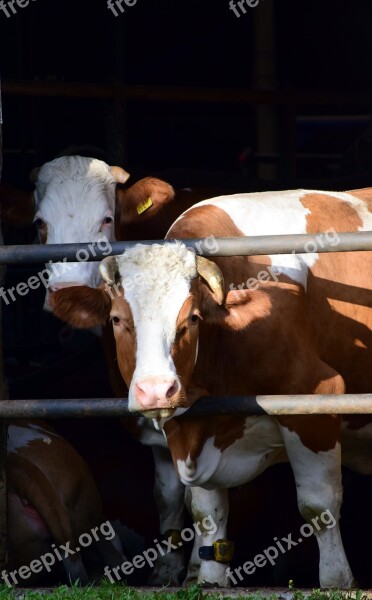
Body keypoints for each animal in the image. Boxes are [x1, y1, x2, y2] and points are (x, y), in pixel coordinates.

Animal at [48, 186, 372, 584]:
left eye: (192, 319)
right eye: (117, 319)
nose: (156, 391)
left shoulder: (314, 398)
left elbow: (319, 506)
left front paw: (337, 581)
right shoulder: (195, 432)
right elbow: (206, 515)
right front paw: (210, 582)